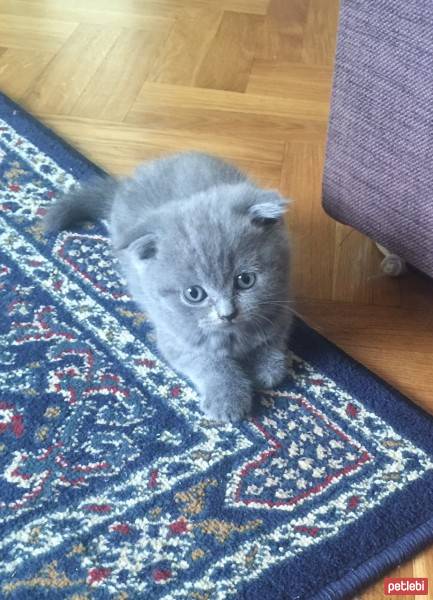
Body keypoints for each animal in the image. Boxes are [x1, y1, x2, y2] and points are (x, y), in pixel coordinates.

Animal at [44, 150, 292, 422]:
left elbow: (273, 339)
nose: (227, 314)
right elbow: (208, 363)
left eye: (245, 280)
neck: (233, 336)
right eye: (194, 294)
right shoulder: (174, 337)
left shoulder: (282, 305)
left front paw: (268, 366)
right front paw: (227, 396)